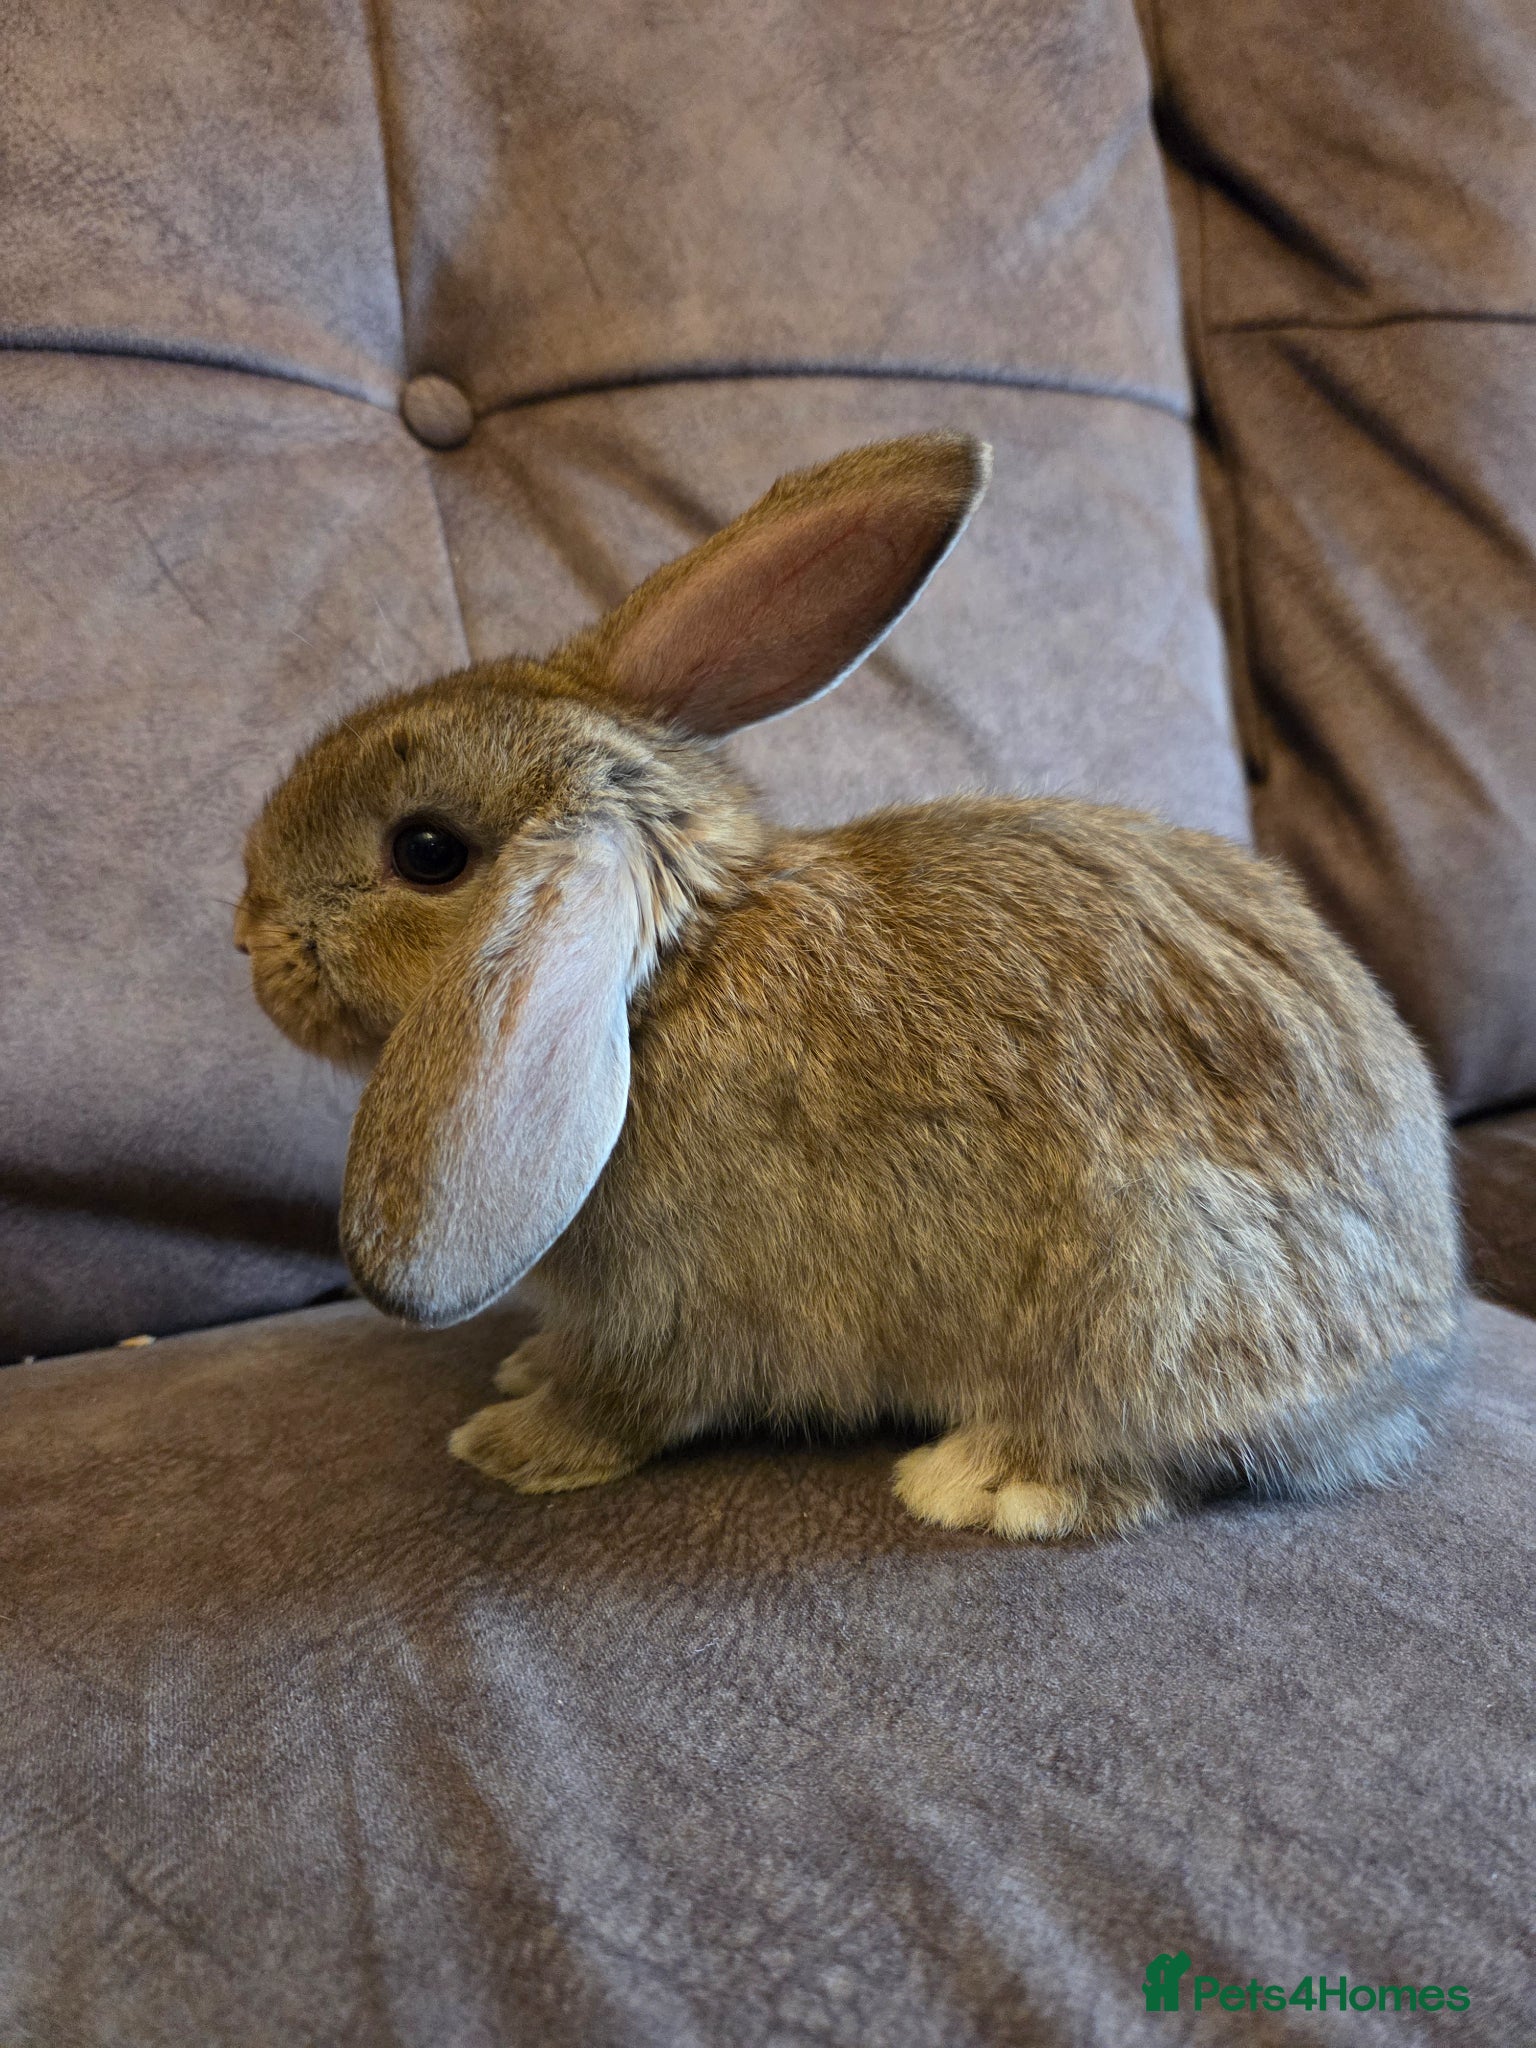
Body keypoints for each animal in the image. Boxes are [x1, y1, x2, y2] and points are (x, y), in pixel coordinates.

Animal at [236, 432, 1463, 1541]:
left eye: (427, 851)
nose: (251, 937)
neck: (661, 984)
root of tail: (1410, 1362)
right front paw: (524, 1372)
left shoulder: (674, 1314)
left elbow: (623, 1405)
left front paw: (507, 1444)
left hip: (1155, 1286)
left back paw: (982, 1481)